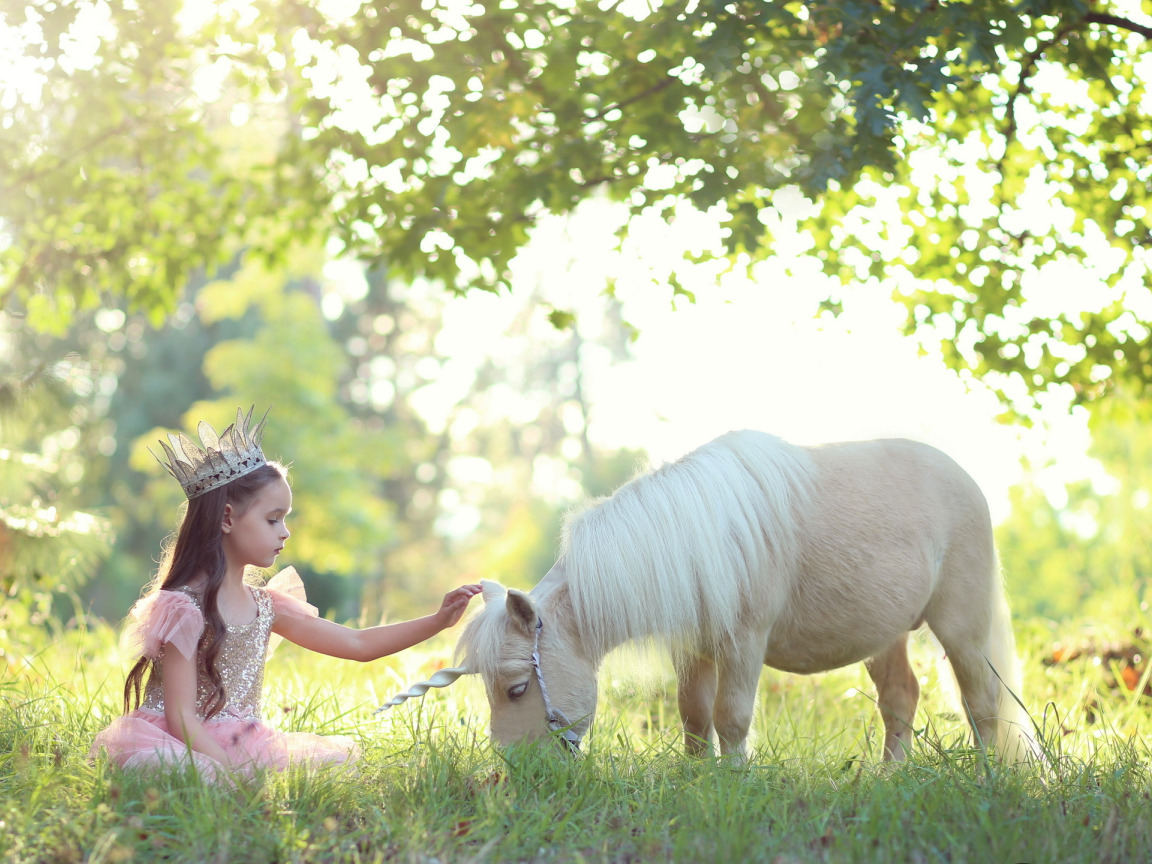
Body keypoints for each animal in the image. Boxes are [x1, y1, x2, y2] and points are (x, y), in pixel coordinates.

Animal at [449, 433, 1036, 764]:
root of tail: (965, 480)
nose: (519, 771)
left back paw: (985, 778)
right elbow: (693, 716)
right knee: (900, 699)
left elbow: (730, 717)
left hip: (961, 629)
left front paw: (733, 780)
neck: (694, 539)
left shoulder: (743, 644)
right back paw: (890, 779)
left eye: (518, 688)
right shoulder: (694, 650)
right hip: (885, 636)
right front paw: (694, 779)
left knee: (981, 703)